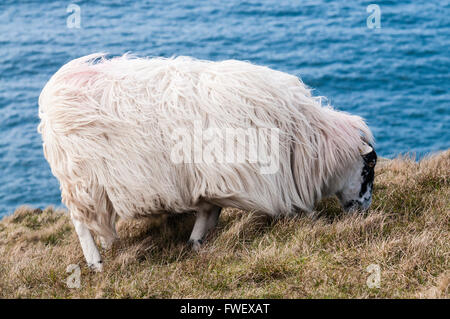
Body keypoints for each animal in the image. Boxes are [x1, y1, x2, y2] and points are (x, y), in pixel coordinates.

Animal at [37, 53, 376, 272]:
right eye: (368, 168)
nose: (365, 211)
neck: (302, 137)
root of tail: (56, 88)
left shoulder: (214, 177)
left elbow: (209, 211)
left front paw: (198, 242)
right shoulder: (236, 175)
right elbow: (214, 209)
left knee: (99, 220)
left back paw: (109, 246)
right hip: (80, 179)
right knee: (80, 222)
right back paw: (95, 262)